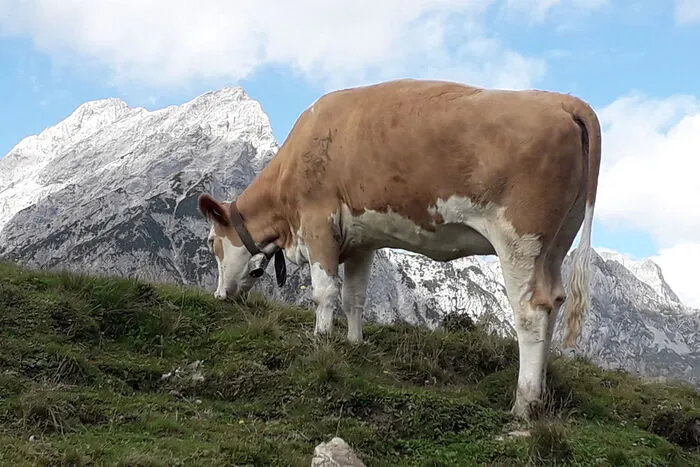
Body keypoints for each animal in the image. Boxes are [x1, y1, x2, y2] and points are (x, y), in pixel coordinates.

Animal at [197, 78, 601, 421]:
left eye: (212, 243)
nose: (219, 296)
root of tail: (565, 101)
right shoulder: (360, 241)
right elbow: (354, 297)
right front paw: (354, 343)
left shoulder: (318, 224)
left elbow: (325, 292)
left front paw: (321, 340)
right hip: (555, 245)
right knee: (554, 303)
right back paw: (542, 394)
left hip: (520, 239)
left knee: (531, 312)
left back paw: (524, 402)